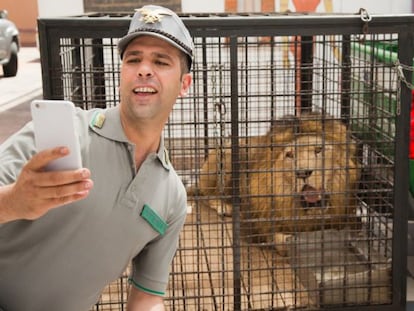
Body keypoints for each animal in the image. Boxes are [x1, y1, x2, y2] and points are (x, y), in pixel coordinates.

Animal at [189, 112, 360, 241]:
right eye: (290, 155)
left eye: (318, 150)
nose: (302, 173)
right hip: (227, 153)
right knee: (208, 195)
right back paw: (225, 207)